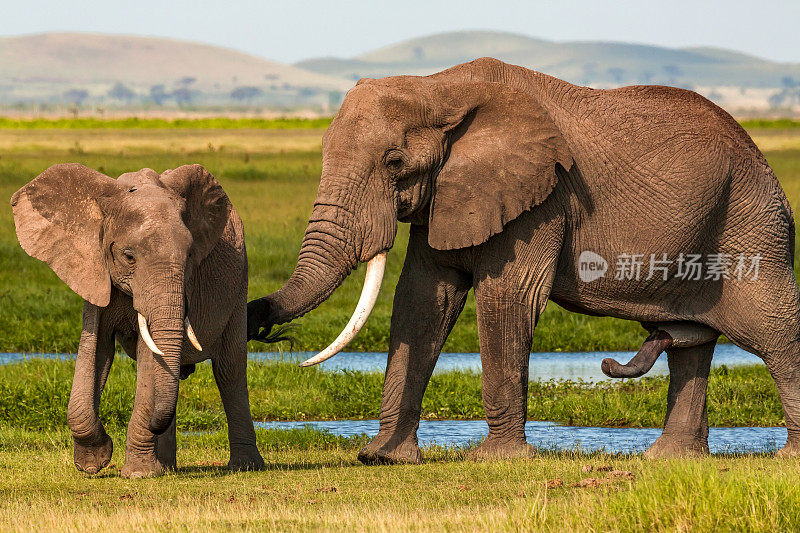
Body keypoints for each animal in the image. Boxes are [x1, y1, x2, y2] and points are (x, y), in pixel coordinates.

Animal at [10, 163, 266, 478]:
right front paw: (93, 462)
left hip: (240, 284)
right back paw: (168, 467)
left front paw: (139, 473)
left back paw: (244, 466)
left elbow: (150, 357)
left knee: (229, 370)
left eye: (190, 255)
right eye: (129, 257)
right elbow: (95, 349)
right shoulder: (95, 269)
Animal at [247, 58, 796, 464]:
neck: (439, 88)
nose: (258, 319)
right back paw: (669, 461)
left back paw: (785, 459)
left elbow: (508, 298)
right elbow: (423, 300)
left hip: (752, 225)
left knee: (773, 331)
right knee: (691, 341)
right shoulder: (449, 195)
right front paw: (383, 457)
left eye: (394, 162)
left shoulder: (543, 197)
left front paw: (494, 460)